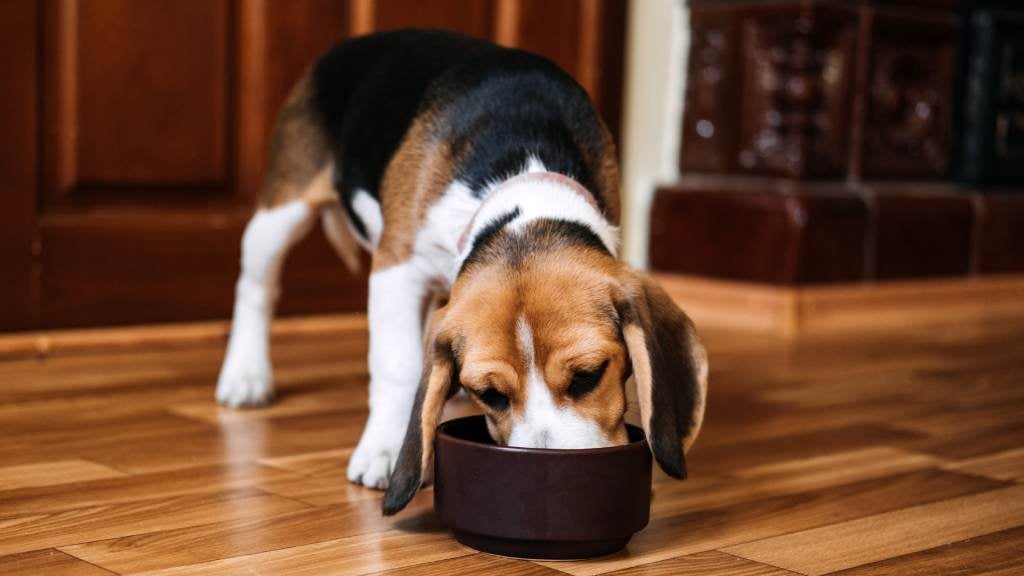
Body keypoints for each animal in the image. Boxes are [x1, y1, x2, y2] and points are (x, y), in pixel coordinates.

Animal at [217, 29, 708, 512]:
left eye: (588, 376)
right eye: (491, 396)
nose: (548, 475)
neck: (523, 181)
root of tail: (352, 42)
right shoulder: (396, 268)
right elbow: (396, 364)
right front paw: (385, 448)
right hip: (281, 213)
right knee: (256, 288)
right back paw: (246, 375)